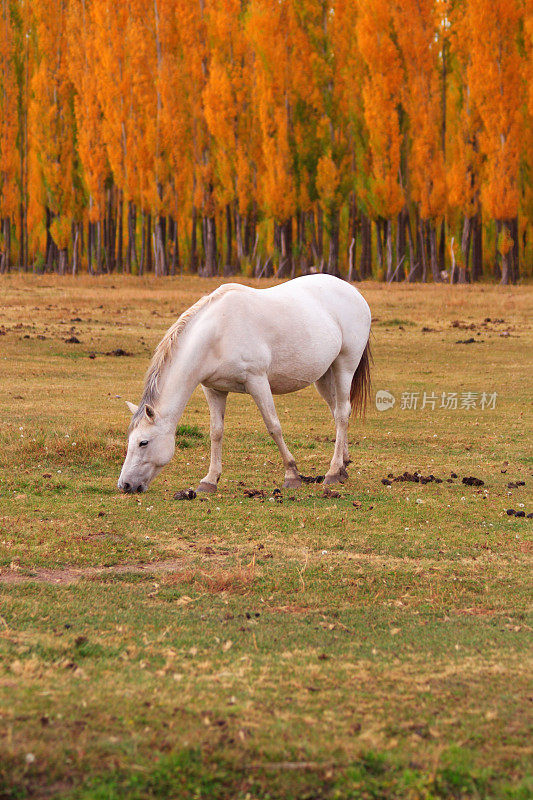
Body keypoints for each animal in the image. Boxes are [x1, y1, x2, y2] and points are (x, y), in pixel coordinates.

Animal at [117, 278, 370, 496]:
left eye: (143, 442)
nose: (125, 485)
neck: (217, 334)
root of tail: (353, 292)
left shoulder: (257, 381)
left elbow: (273, 426)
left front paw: (292, 474)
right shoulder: (213, 389)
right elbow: (216, 432)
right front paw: (209, 480)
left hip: (344, 366)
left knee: (342, 413)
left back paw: (333, 472)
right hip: (325, 375)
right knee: (337, 412)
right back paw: (343, 465)